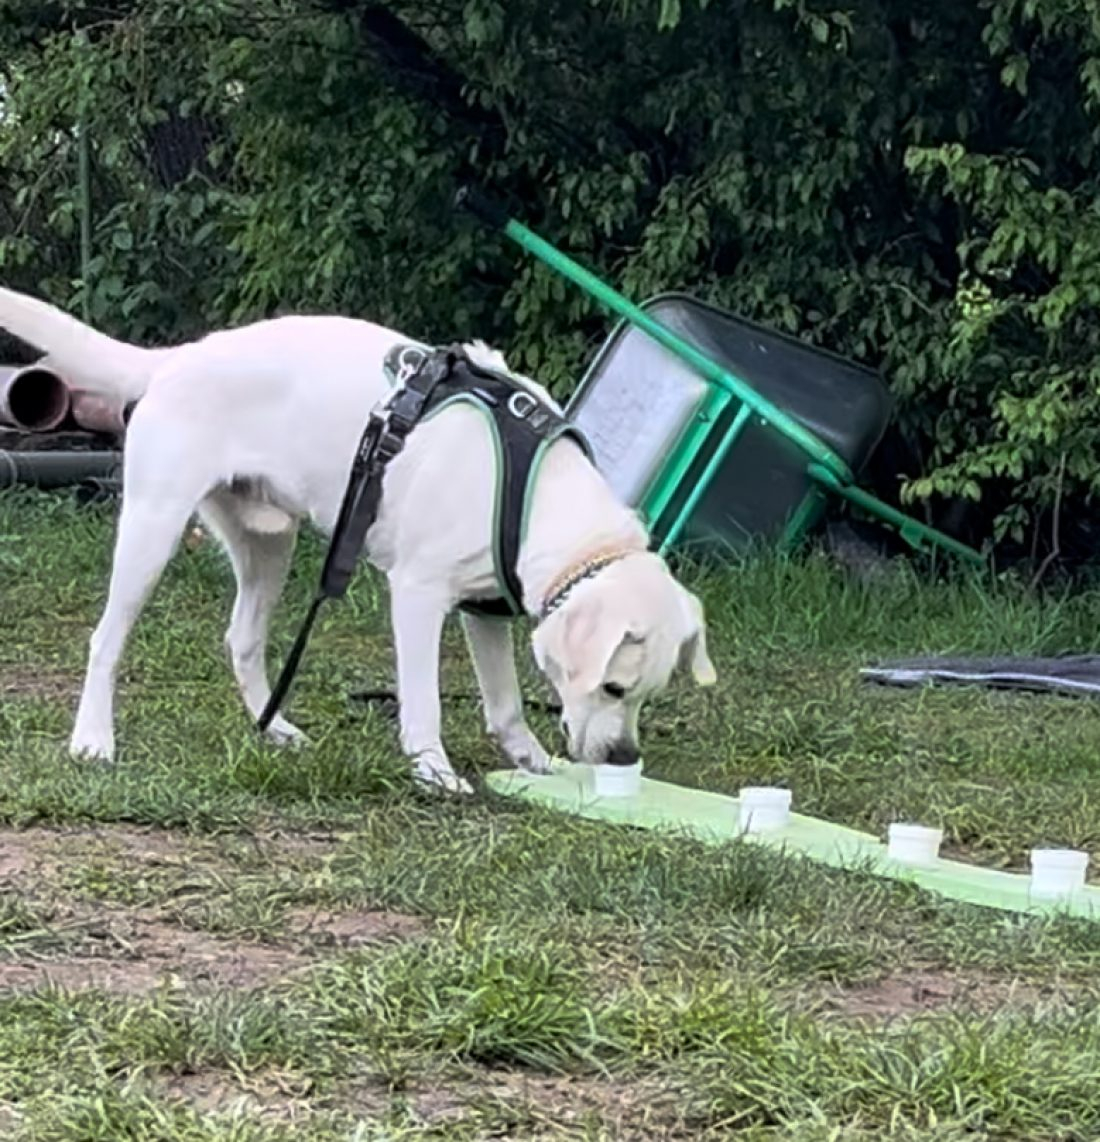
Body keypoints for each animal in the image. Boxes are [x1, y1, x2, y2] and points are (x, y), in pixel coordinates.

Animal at [0, 290, 717, 794]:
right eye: (615, 689)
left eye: (647, 695)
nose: (625, 757)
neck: (538, 495)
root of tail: (180, 355)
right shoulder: (420, 597)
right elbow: (425, 702)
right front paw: (435, 771)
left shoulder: (485, 611)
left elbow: (507, 703)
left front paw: (529, 760)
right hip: (153, 528)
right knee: (106, 640)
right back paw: (94, 740)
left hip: (268, 546)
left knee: (243, 640)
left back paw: (275, 729)